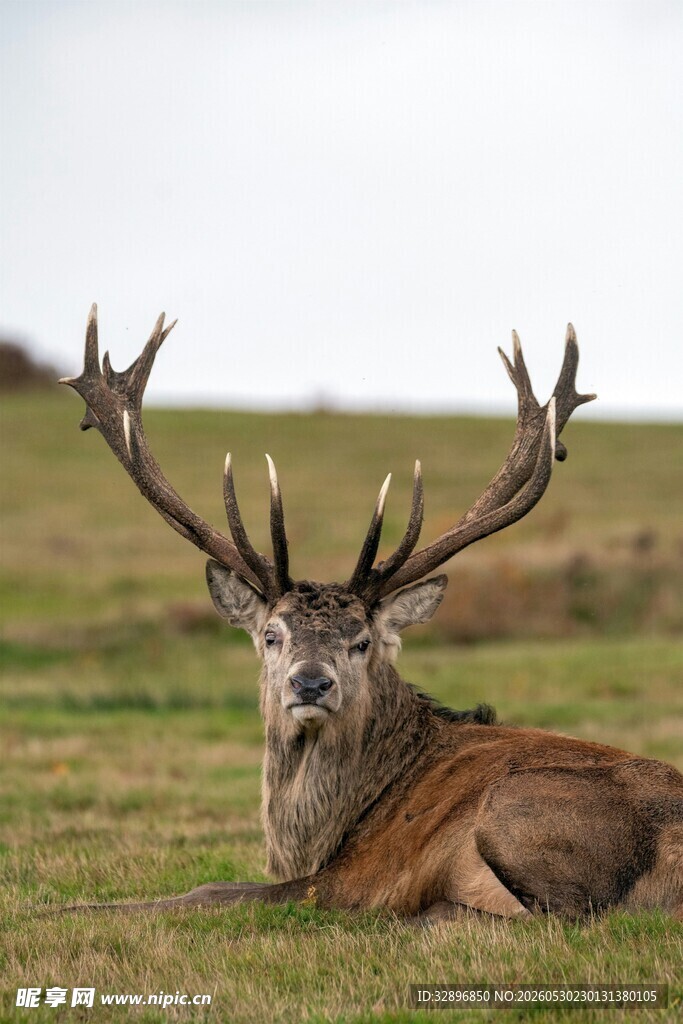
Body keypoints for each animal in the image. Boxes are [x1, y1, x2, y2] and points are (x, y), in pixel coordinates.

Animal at [59, 306, 683, 923]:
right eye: (271, 634)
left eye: (362, 641)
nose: (311, 684)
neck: (328, 831)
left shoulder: (354, 879)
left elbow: (209, 892)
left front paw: (66, 910)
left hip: (517, 809)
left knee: (562, 916)